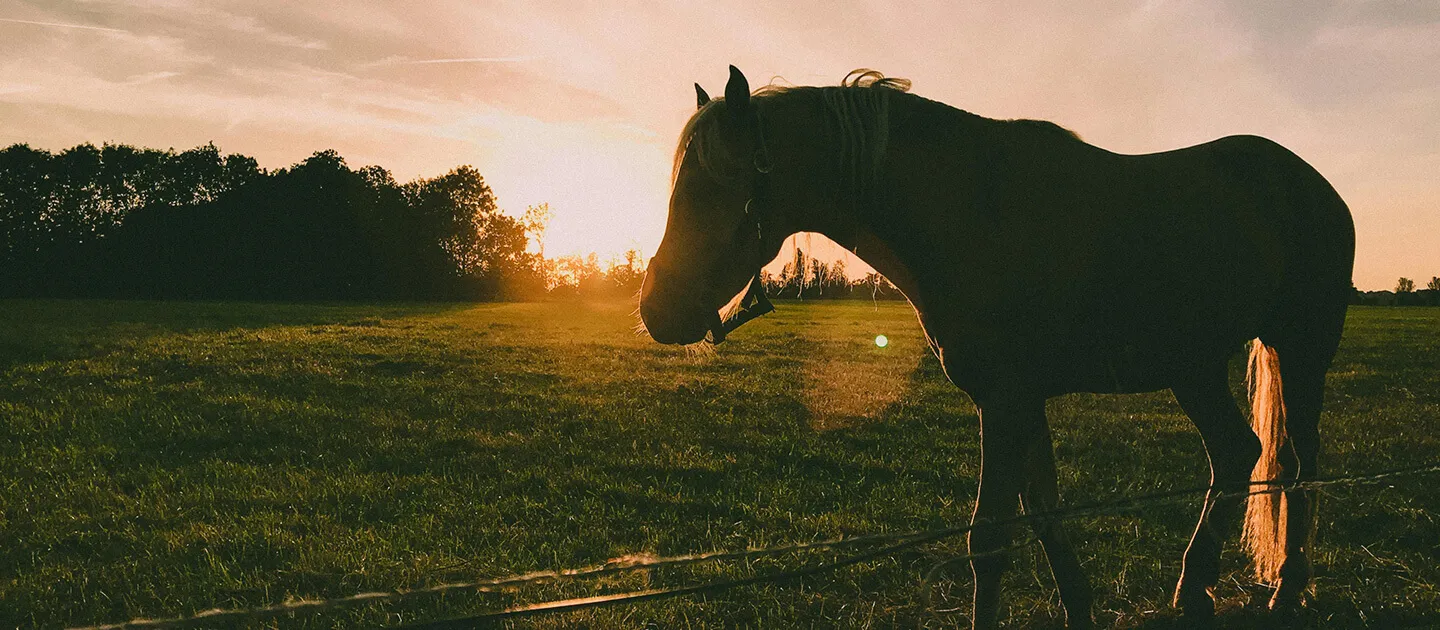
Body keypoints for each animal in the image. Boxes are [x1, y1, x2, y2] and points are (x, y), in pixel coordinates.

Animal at [638, 66, 1355, 628]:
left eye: (713, 184)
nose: (655, 310)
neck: (972, 212)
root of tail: (1312, 183)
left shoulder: (1005, 402)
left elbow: (989, 537)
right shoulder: (1020, 402)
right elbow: (1042, 512)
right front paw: (1079, 607)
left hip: (1300, 350)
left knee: (1298, 464)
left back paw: (1286, 588)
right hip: (1194, 367)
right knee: (1237, 453)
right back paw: (1195, 590)